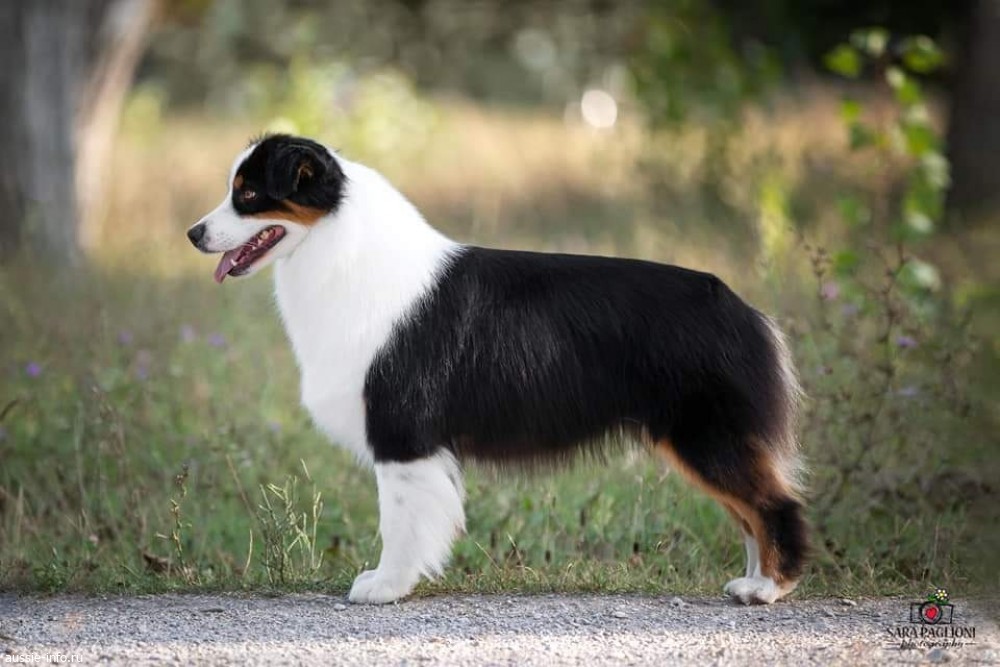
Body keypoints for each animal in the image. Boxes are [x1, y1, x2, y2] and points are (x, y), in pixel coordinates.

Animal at [187, 134, 809, 605]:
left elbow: (399, 521)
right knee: (750, 513)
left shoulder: (402, 434)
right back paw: (751, 582)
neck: (339, 249)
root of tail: (745, 311)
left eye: (248, 194)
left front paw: (385, 587)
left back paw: (768, 590)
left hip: (708, 435)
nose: (193, 234)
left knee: (774, 506)